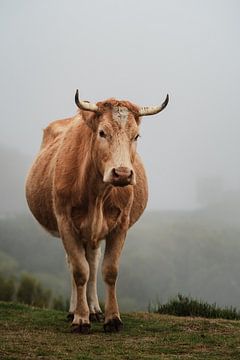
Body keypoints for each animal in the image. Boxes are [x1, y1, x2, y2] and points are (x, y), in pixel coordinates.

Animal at [25, 90, 169, 334]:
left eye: (136, 136)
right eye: (102, 132)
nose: (122, 173)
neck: (97, 192)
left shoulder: (120, 225)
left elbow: (109, 270)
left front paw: (112, 318)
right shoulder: (65, 222)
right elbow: (79, 271)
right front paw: (80, 319)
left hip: (92, 235)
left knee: (92, 262)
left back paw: (94, 309)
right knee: (77, 264)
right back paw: (75, 309)